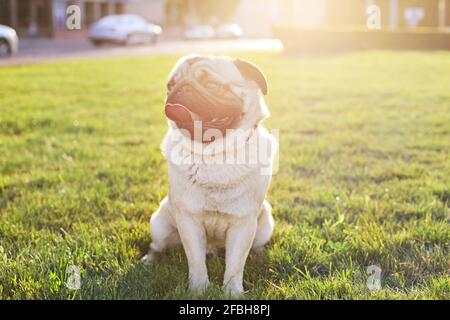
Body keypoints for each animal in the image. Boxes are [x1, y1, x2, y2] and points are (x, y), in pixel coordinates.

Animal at [142, 53, 278, 296]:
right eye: (170, 85)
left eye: (211, 85)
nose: (182, 88)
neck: (214, 155)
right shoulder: (189, 220)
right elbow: (196, 261)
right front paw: (198, 290)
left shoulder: (243, 224)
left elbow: (235, 265)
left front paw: (232, 292)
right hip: (159, 224)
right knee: (157, 246)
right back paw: (150, 259)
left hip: (264, 225)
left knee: (254, 246)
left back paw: (259, 255)